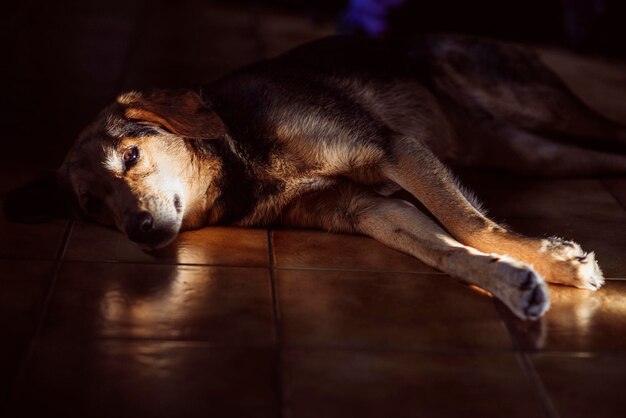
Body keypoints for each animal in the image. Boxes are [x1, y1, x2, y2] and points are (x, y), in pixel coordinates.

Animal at [4, 34, 624, 320]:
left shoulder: (393, 150)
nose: (137, 230)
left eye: (130, 156)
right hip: (531, 151)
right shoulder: (374, 209)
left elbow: (471, 224)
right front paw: (516, 281)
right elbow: (450, 252)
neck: (242, 162)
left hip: (532, 104)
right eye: (92, 205)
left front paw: (555, 262)